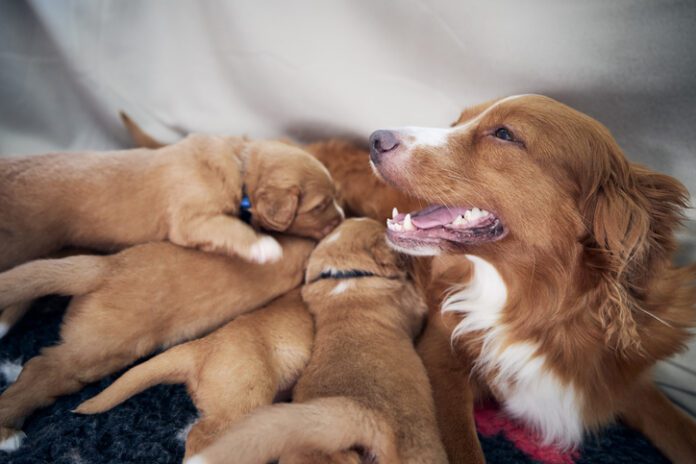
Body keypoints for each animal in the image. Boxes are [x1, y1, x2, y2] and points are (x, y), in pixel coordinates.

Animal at [0, 133, 342, 272]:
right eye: (319, 206)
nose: (342, 218)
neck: (240, 164)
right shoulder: (191, 218)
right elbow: (230, 228)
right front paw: (264, 247)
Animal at [364, 95, 696, 464]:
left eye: (504, 134)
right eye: (456, 123)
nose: (376, 139)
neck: (538, 311)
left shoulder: (627, 382)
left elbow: (681, 428)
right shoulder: (440, 356)